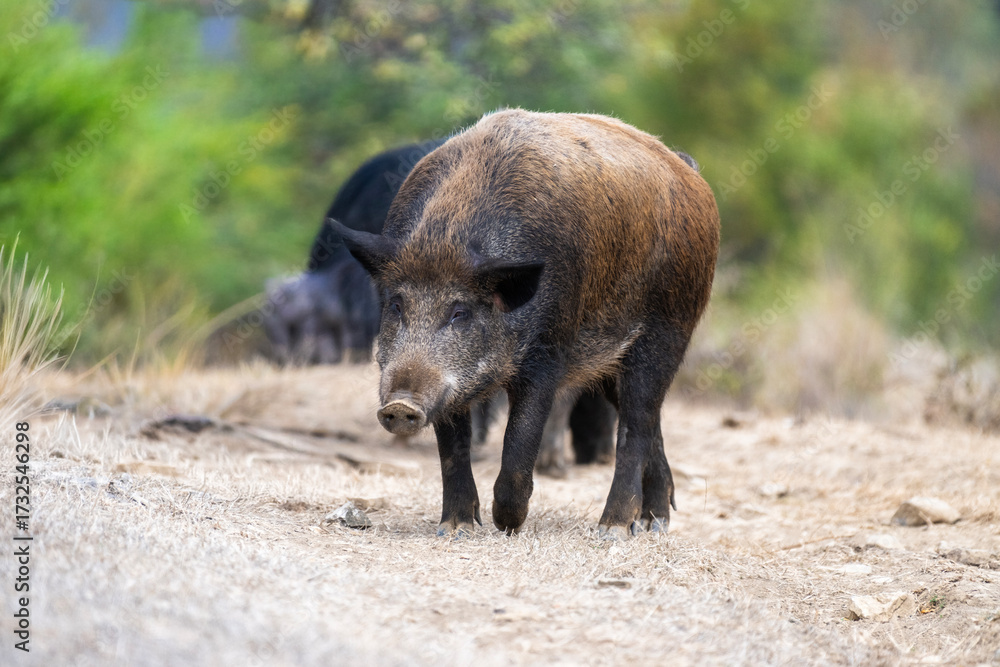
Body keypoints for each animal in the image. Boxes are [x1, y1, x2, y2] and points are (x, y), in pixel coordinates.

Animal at [332, 109, 720, 538]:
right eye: (397, 305)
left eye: (460, 312)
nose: (400, 405)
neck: (448, 236)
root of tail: (690, 173)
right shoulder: (451, 389)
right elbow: (453, 447)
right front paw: (456, 528)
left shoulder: (548, 352)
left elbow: (520, 440)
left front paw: (507, 524)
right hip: (609, 363)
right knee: (650, 421)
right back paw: (654, 523)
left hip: (669, 328)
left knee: (636, 423)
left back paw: (615, 529)